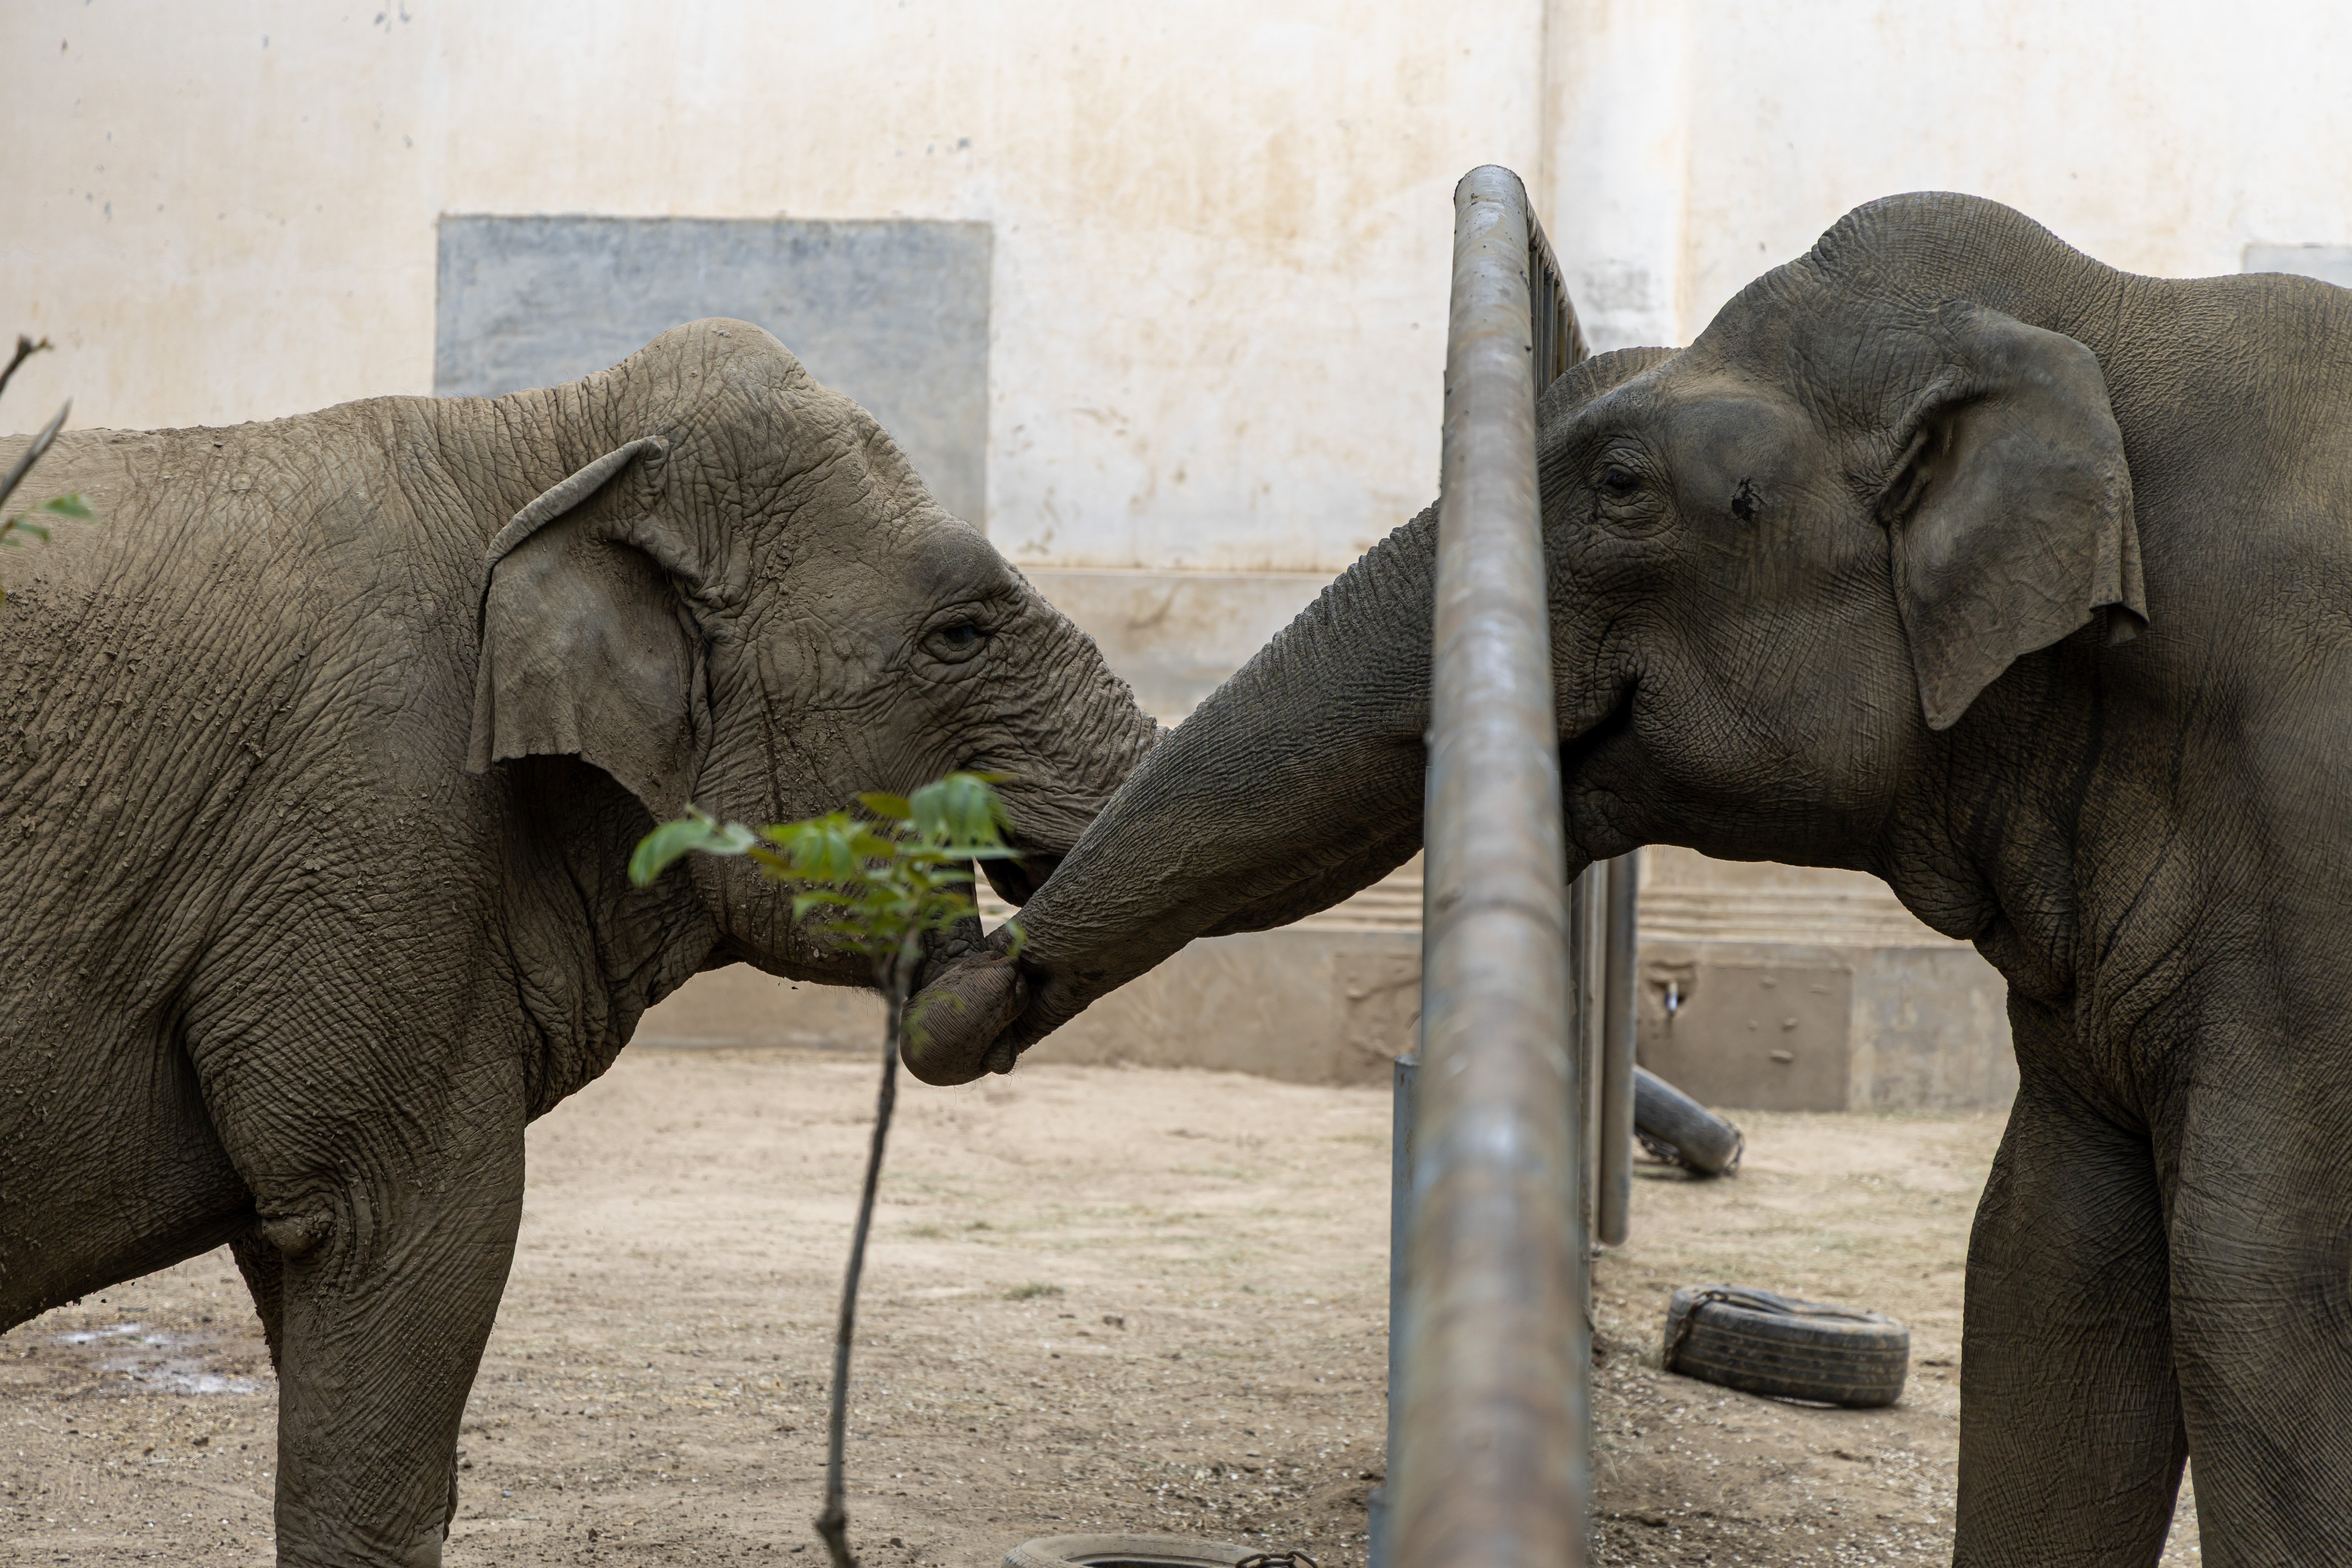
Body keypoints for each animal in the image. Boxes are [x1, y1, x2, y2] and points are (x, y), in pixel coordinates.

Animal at [906, 194, 2352, 1565]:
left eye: (1620, 484)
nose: (973, 977)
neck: (2118, 320)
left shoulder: (2306, 823)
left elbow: (2256, 1294)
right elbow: (2050, 1262)